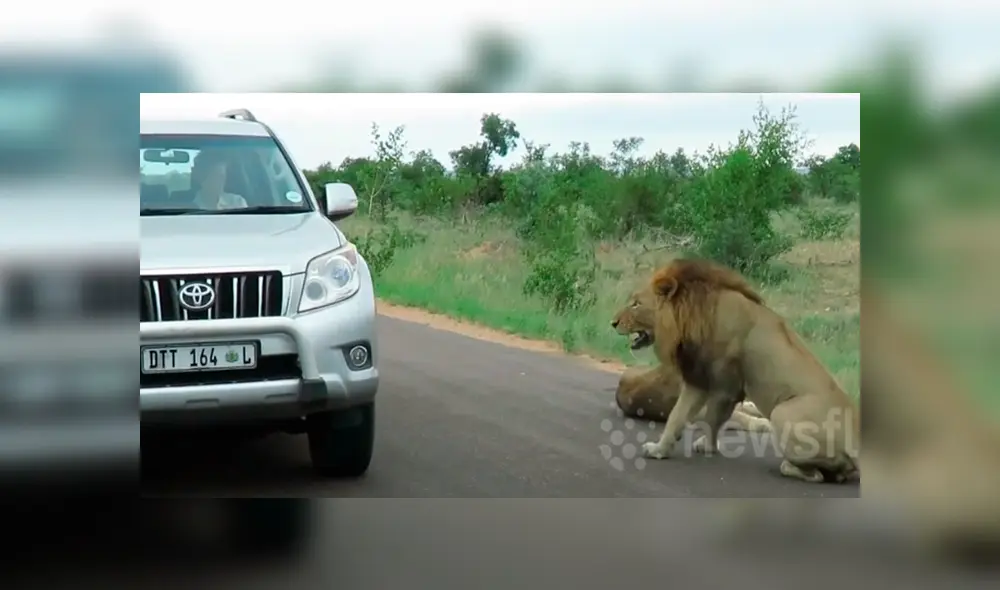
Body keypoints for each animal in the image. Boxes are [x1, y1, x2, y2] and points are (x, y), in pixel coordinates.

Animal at [612, 258, 860, 484]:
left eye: (636, 303)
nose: (613, 323)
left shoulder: (724, 384)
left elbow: (712, 419)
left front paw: (708, 446)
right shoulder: (698, 379)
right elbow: (677, 416)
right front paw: (659, 450)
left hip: (782, 412)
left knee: (815, 475)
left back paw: (789, 466)